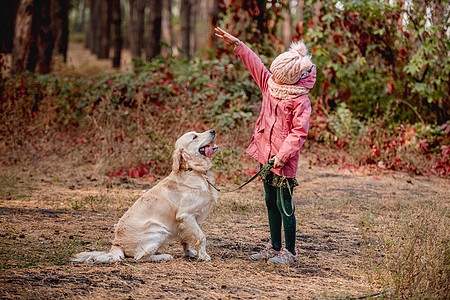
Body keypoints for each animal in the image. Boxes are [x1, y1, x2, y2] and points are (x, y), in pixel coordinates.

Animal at [71, 129, 219, 262]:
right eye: (195, 137)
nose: (213, 130)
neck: (192, 170)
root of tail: (117, 244)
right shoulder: (186, 215)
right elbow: (202, 237)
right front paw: (204, 256)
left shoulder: (184, 222)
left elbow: (185, 239)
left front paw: (189, 253)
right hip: (158, 229)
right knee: (140, 257)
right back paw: (164, 256)